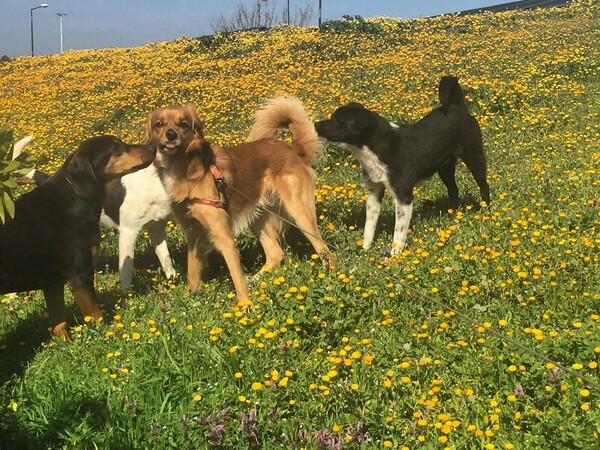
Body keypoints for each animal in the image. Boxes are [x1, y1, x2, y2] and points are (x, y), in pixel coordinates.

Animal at [0, 135, 155, 340]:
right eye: (115, 148)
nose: (153, 148)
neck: (74, 199)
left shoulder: (53, 283)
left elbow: (59, 322)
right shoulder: (80, 276)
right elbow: (96, 315)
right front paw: (106, 339)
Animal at [145, 98, 332, 302]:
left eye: (183, 124)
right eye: (159, 124)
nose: (171, 135)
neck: (185, 170)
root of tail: (292, 148)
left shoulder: (223, 235)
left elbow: (236, 277)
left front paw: (244, 305)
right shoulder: (193, 233)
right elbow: (192, 275)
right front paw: (188, 300)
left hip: (299, 212)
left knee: (324, 249)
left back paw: (331, 279)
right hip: (258, 216)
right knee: (275, 253)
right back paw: (257, 280)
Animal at [316, 76, 490, 253]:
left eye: (337, 120)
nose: (316, 124)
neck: (377, 146)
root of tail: (456, 105)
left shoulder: (403, 197)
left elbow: (398, 232)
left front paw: (395, 254)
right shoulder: (373, 192)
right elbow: (369, 226)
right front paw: (365, 248)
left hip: (474, 157)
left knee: (484, 185)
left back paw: (485, 211)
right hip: (445, 167)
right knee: (453, 189)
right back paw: (452, 214)